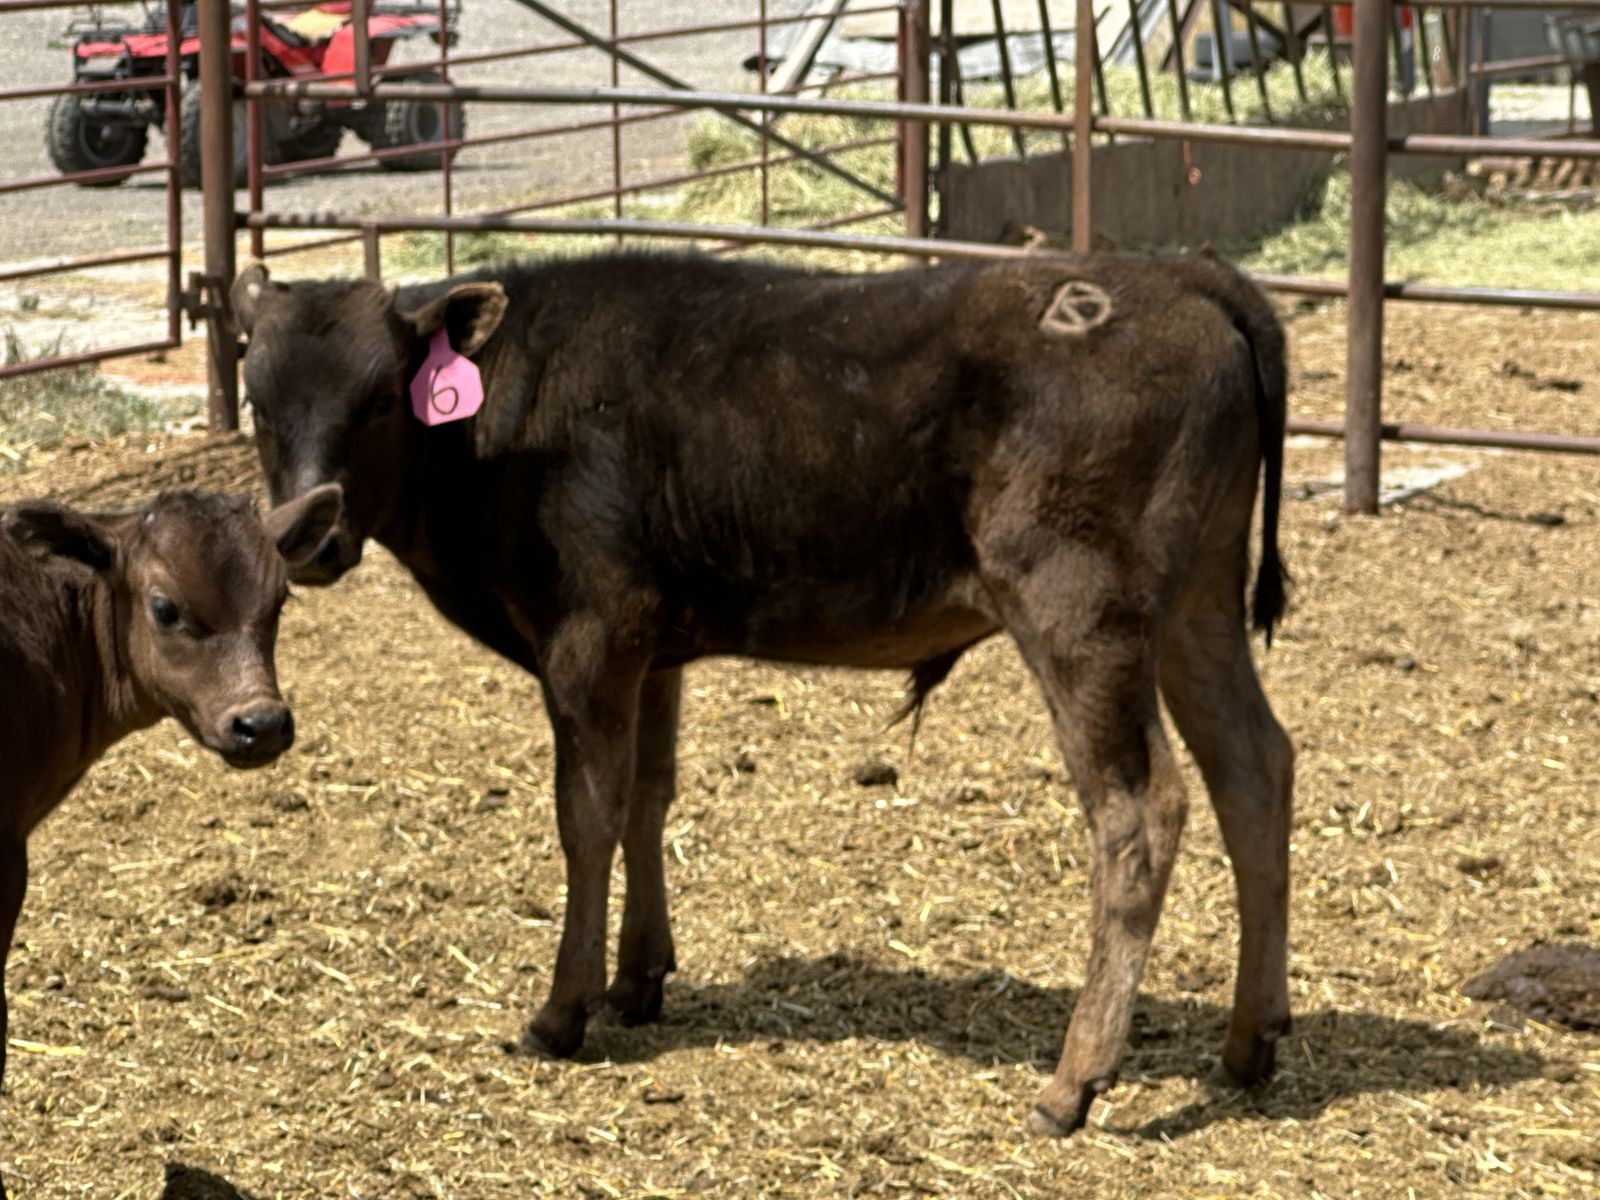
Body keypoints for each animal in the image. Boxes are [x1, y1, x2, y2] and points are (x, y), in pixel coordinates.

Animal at [230, 248, 1295, 1136]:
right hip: (1197, 602)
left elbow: (586, 816)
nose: (309, 534)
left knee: (1140, 810)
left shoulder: (588, 638)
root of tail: (1180, 274)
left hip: (1081, 609)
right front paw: (639, 978)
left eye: (381, 400)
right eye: (256, 400)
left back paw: (1075, 1081)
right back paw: (1251, 1039)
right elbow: (646, 800)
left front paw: (563, 1012)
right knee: (1255, 766)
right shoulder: (651, 651)